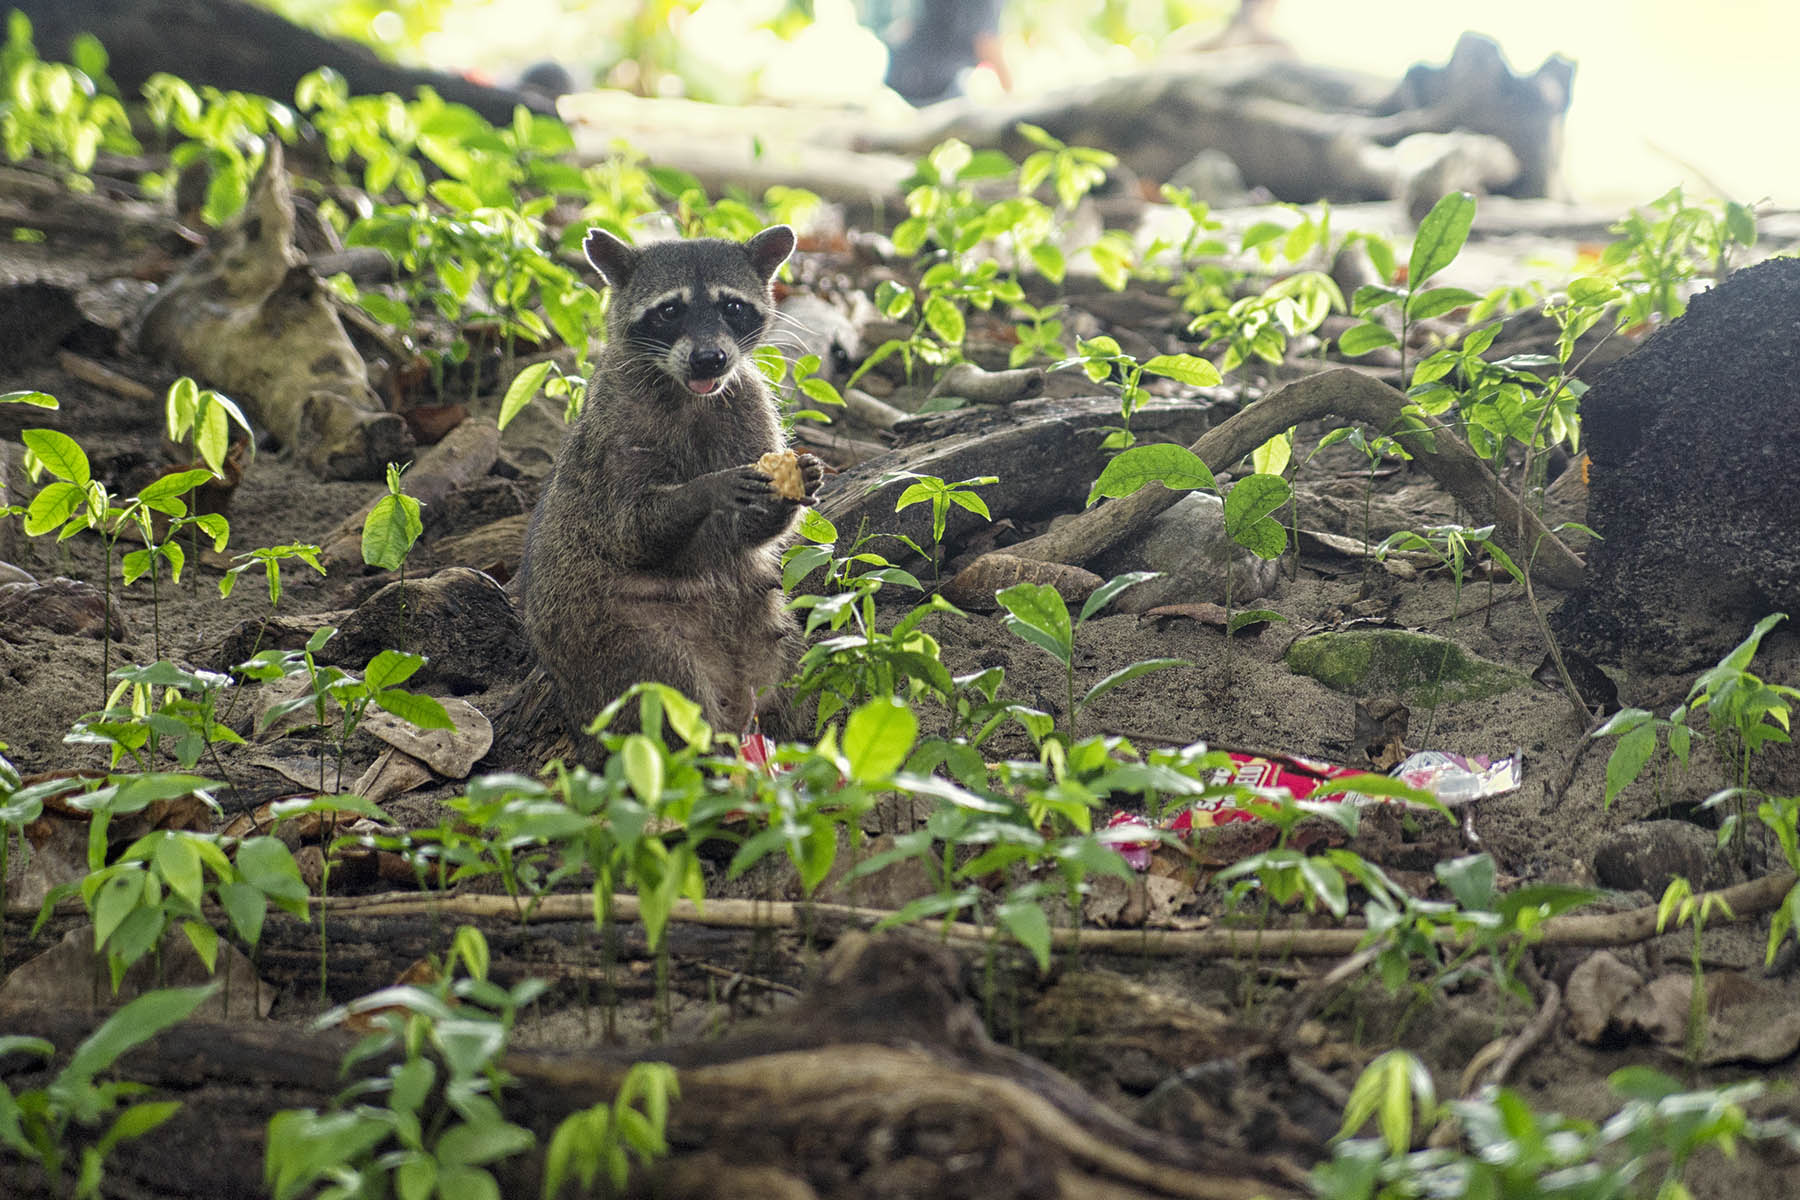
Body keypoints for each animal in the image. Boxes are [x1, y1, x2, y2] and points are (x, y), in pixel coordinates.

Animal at [525, 226, 824, 744]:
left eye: (732, 306)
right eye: (669, 310)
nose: (710, 360)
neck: (690, 393)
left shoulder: (748, 402)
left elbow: (747, 534)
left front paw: (790, 488)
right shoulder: (613, 429)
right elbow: (629, 529)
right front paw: (707, 489)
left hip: (770, 637)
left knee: (787, 681)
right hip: (621, 642)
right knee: (664, 694)